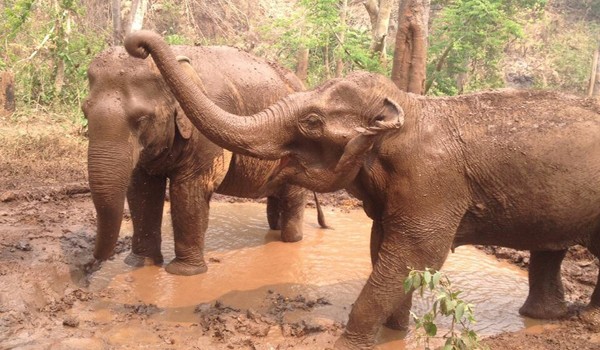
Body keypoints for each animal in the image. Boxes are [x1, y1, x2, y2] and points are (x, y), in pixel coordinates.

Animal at [81, 44, 326, 276]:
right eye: (84, 112)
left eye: (141, 119)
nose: (91, 263)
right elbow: (143, 189)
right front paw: (141, 264)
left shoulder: (206, 133)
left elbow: (190, 188)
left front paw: (183, 273)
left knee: (292, 197)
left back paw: (291, 240)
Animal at [122, 30, 600, 350]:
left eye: (312, 122)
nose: (136, 46)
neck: (409, 107)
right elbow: (383, 246)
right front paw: (395, 333)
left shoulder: (433, 181)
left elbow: (415, 252)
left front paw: (352, 342)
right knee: (550, 251)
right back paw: (547, 317)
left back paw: (584, 318)